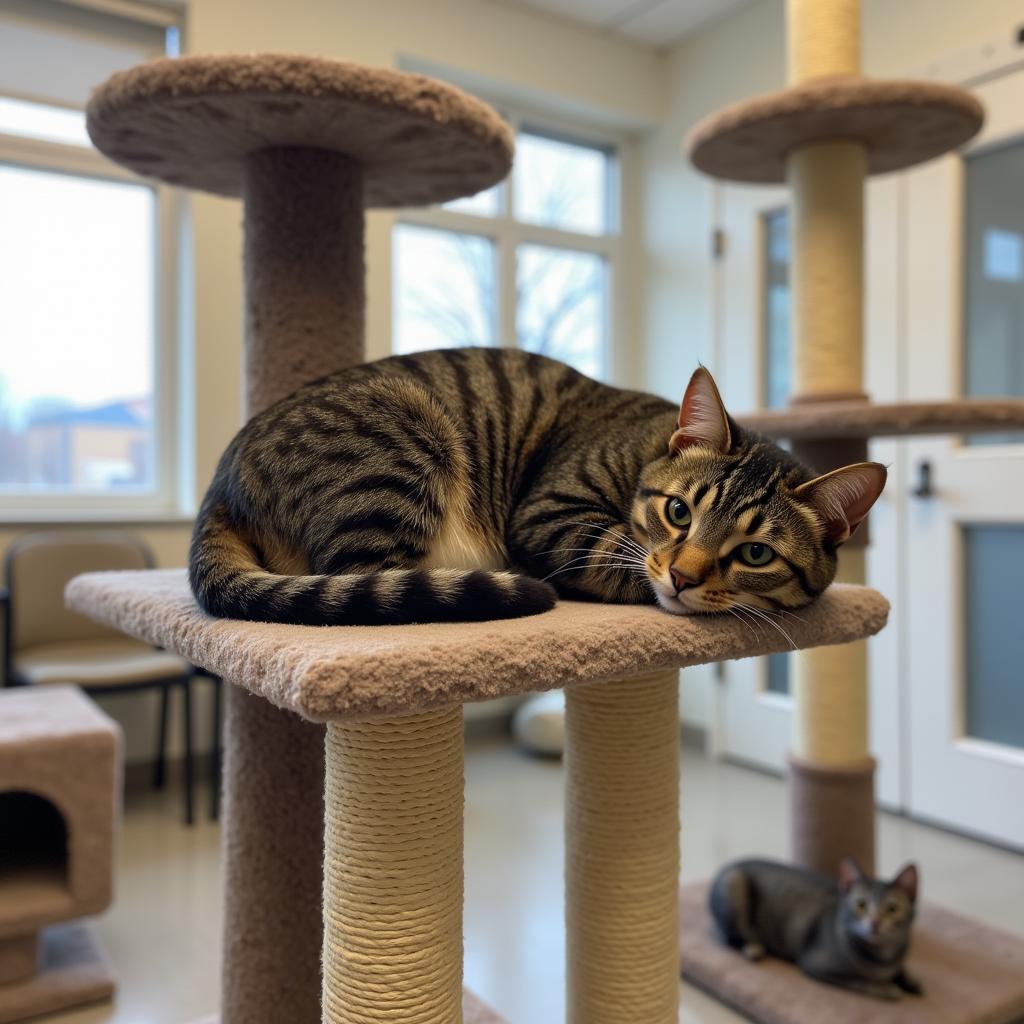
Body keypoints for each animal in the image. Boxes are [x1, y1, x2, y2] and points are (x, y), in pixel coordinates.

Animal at [188, 350, 884, 622]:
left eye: (756, 553)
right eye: (679, 513)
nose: (685, 577)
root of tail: (221, 479)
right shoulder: (550, 512)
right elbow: (618, 557)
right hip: (399, 454)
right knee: (366, 585)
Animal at [708, 856, 925, 999]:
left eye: (892, 908)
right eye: (861, 905)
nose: (875, 922)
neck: (883, 957)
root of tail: (728, 865)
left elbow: (900, 969)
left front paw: (911, 980)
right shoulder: (816, 965)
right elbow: (860, 981)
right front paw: (888, 988)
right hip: (733, 884)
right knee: (731, 937)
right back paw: (754, 948)